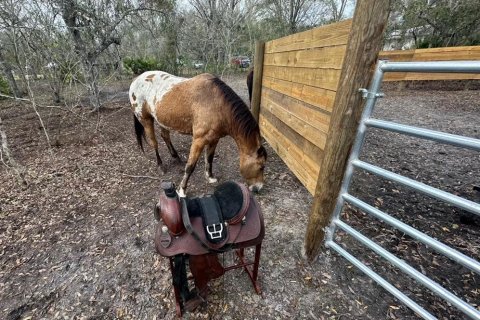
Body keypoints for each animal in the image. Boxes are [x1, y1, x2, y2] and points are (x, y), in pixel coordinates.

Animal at [129, 71, 268, 196]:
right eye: (261, 166)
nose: (259, 188)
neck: (217, 104)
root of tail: (135, 81)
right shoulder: (198, 140)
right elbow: (190, 166)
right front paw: (181, 191)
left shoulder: (214, 139)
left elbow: (209, 159)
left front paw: (210, 177)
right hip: (146, 120)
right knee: (154, 143)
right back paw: (160, 166)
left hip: (163, 120)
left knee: (165, 136)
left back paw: (176, 157)